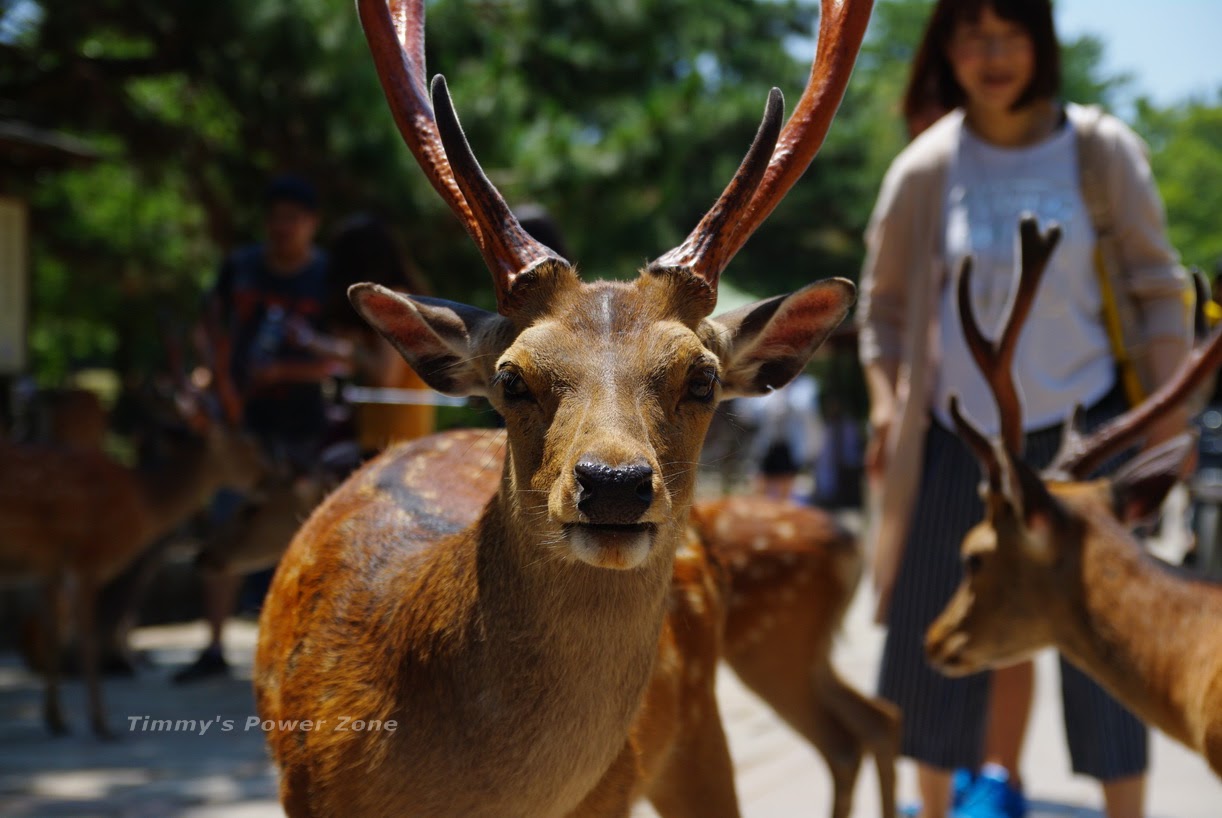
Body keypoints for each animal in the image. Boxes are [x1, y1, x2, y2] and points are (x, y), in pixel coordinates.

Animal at [0, 404, 265, 738]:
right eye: (248, 446)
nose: (265, 478)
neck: (142, 501)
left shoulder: (49, 567)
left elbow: (53, 633)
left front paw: (57, 720)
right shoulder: (86, 559)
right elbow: (86, 636)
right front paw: (101, 724)